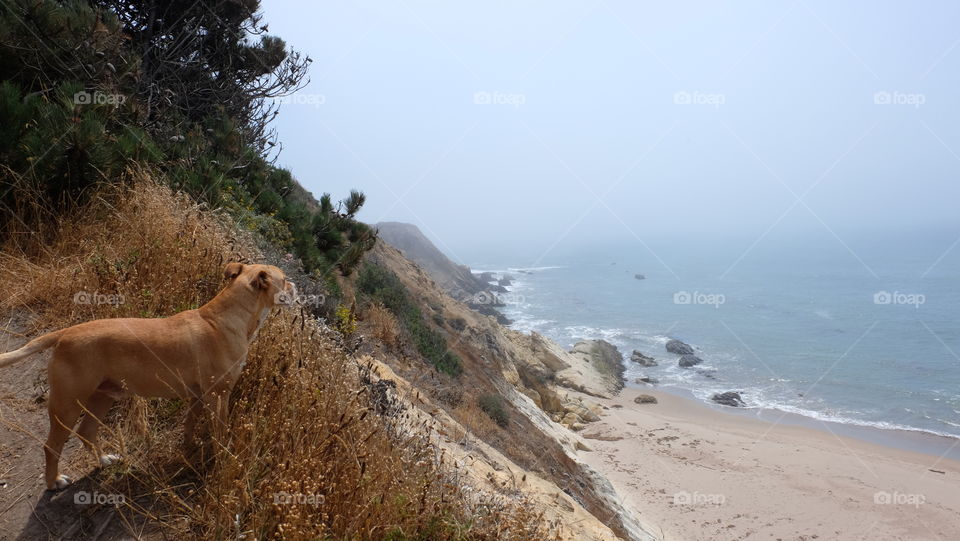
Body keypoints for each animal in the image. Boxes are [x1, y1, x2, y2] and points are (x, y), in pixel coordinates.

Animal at [0, 262, 296, 490]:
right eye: (284, 279)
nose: (295, 286)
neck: (228, 317)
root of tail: (64, 333)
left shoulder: (198, 397)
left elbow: (189, 426)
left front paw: (189, 450)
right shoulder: (218, 396)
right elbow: (220, 433)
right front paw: (223, 457)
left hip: (102, 398)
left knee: (87, 432)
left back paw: (103, 461)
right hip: (67, 405)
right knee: (52, 446)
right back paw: (54, 482)